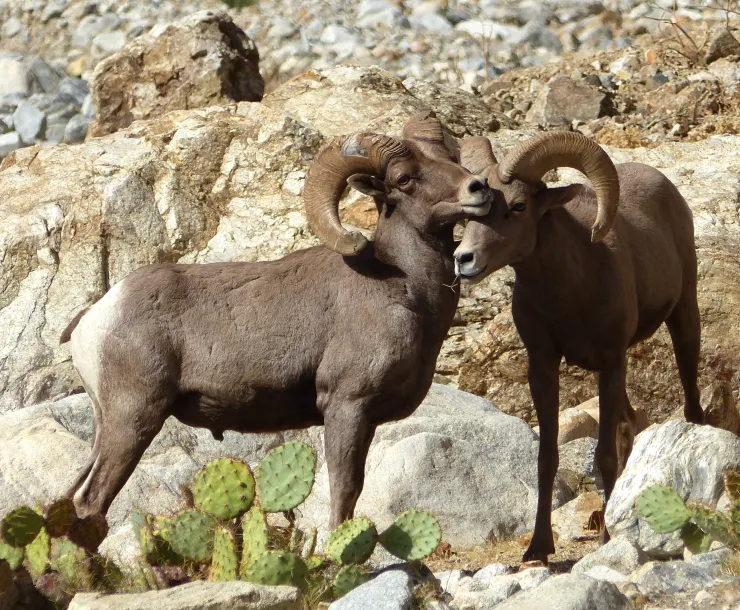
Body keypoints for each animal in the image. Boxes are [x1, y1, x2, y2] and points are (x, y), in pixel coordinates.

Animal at [59, 112, 493, 540]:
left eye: (450, 158)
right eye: (404, 178)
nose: (478, 188)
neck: (404, 288)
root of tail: (94, 317)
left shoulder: (366, 419)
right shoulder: (347, 405)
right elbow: (343, 490)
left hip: (107, 424)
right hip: (133, 419)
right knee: (91, 501)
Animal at [452, 131, 703, 563]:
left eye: (518, 206)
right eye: (470, 212)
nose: (464, 260)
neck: (571, 293)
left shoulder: (612, 362)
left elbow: (604, 454)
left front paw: (606, 540)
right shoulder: (543, 366)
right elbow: (547, 458)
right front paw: (538, 548)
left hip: (684, 317)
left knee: (690, 404)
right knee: (632, 425)